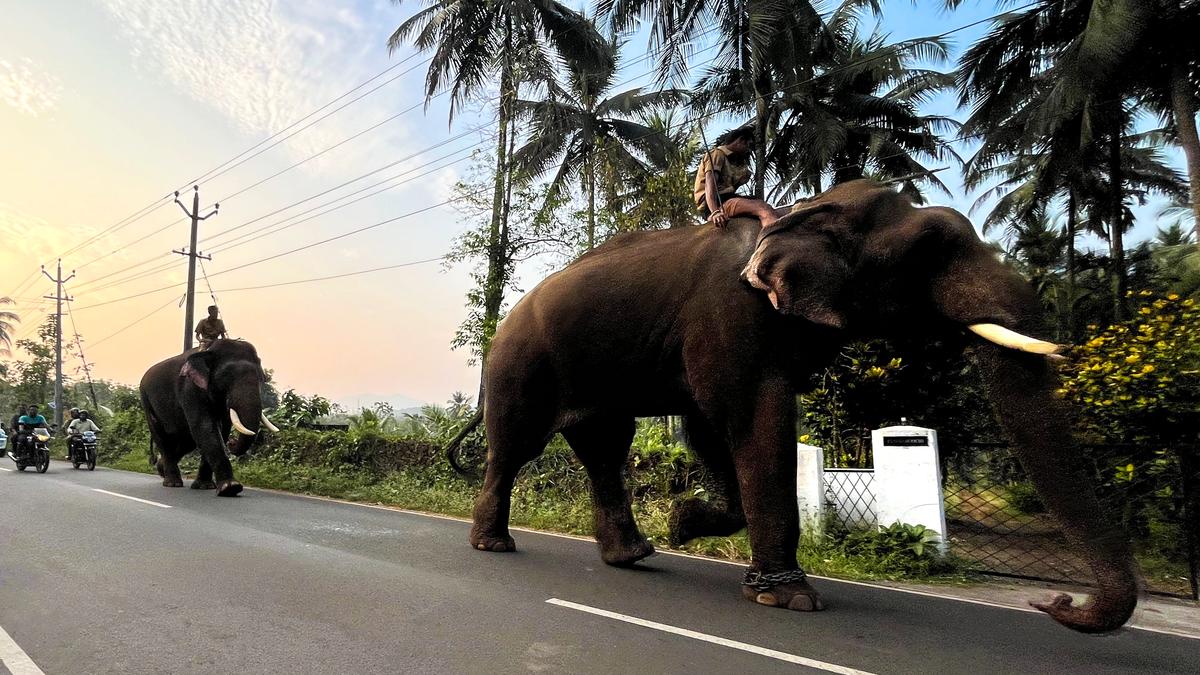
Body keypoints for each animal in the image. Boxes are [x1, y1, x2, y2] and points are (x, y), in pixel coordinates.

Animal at [139, 339, 278, 497]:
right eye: (226, 376)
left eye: (261, 378)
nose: (232, 442)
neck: (209, 351)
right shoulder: (190, 389)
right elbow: (205, 427)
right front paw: (231, 488)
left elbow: (221, 430)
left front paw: (205, 486)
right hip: (146, 401)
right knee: (163, 438)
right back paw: (172, 483)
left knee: (187, 440)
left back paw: (161, 469)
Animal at [467, 179, 1138, 633]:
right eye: (929, 250)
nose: (1056, 603)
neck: (802, 210)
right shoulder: (731, 315)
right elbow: (745, 416)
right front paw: (789, 600)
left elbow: (711, 426)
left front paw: (686, 523)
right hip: (519, 364)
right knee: (518, 447)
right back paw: (494, 547)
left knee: (605, 447)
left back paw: (634, 556)